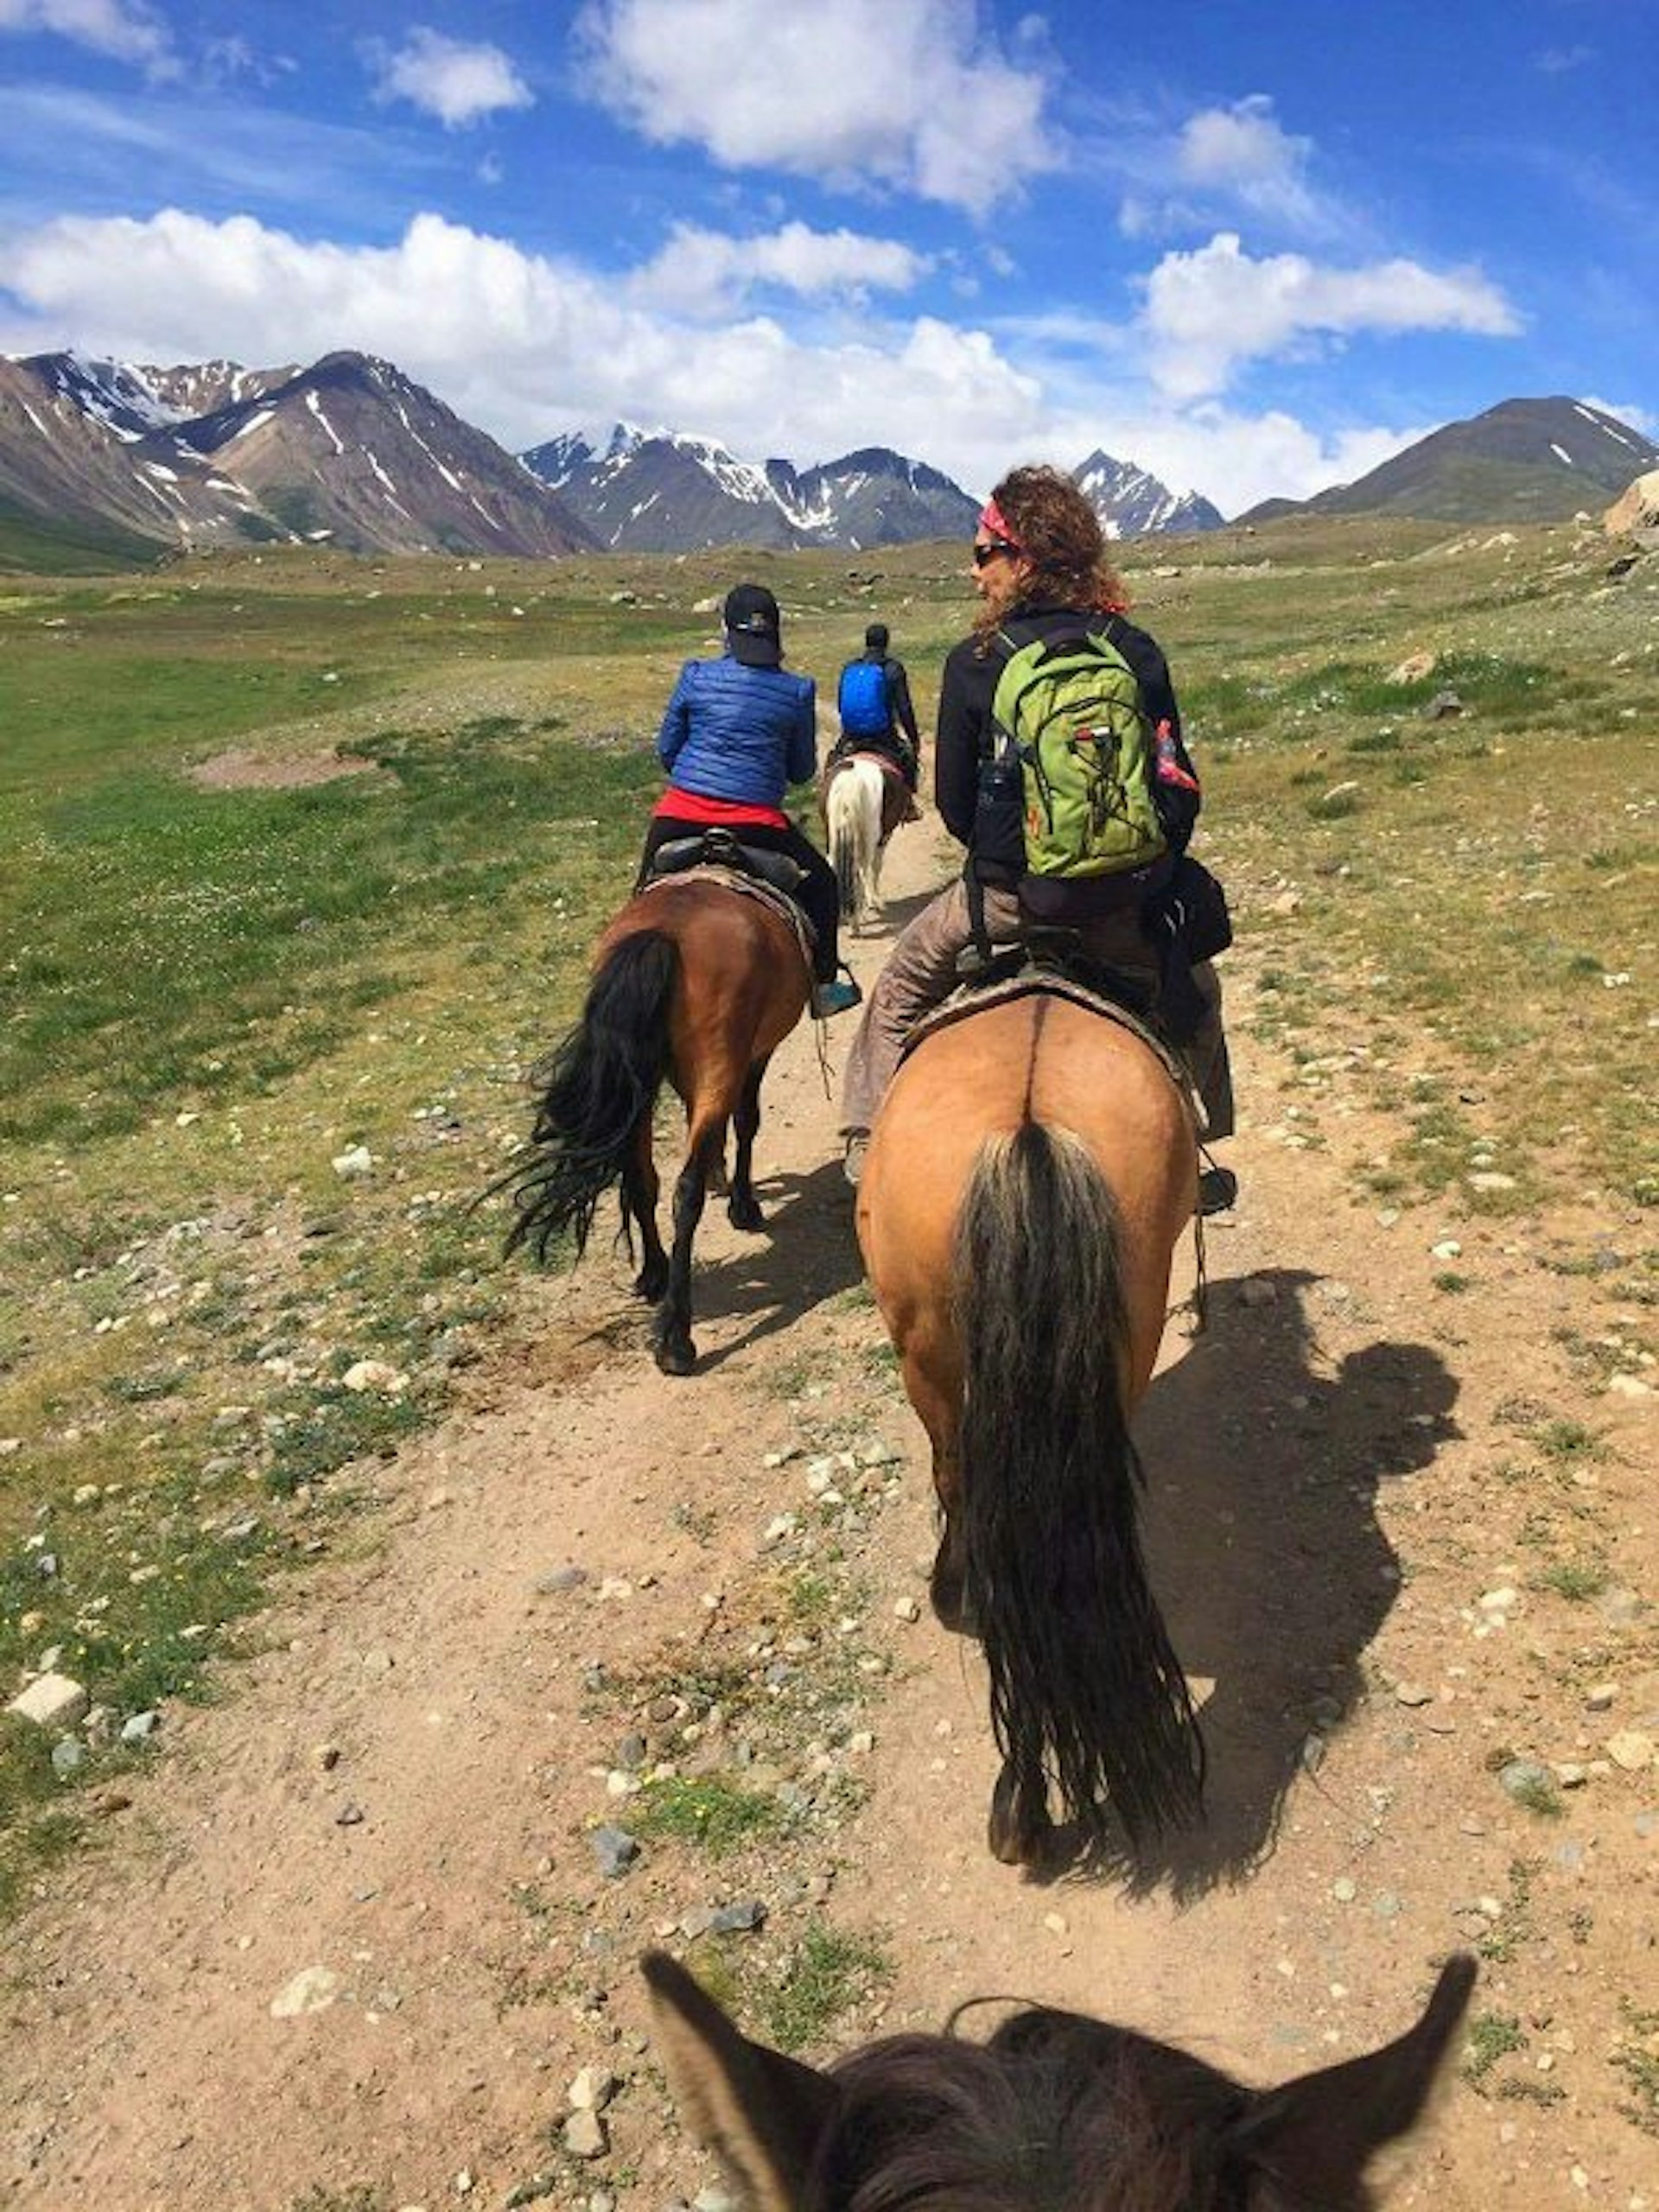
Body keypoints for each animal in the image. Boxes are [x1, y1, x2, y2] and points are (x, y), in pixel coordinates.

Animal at [506, 871, 818, 1371]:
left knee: (640, 1179)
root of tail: (663, 933)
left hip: (641, 1085)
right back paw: (676, 1338)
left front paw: (720, 1175)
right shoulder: (755, 1055)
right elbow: (747, 1122)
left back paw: (654, 1274)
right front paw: (743, 1205)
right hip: (717, 1064)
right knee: (683, 1192)